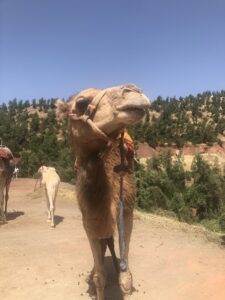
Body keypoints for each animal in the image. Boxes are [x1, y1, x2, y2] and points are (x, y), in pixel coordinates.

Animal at [57, 83, 150, 298]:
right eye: (81, 103)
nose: (133, 91)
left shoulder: (127, 213)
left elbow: (125, 278)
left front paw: (121, 275)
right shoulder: (89, 222)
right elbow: (99, 277)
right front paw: (97, 279)